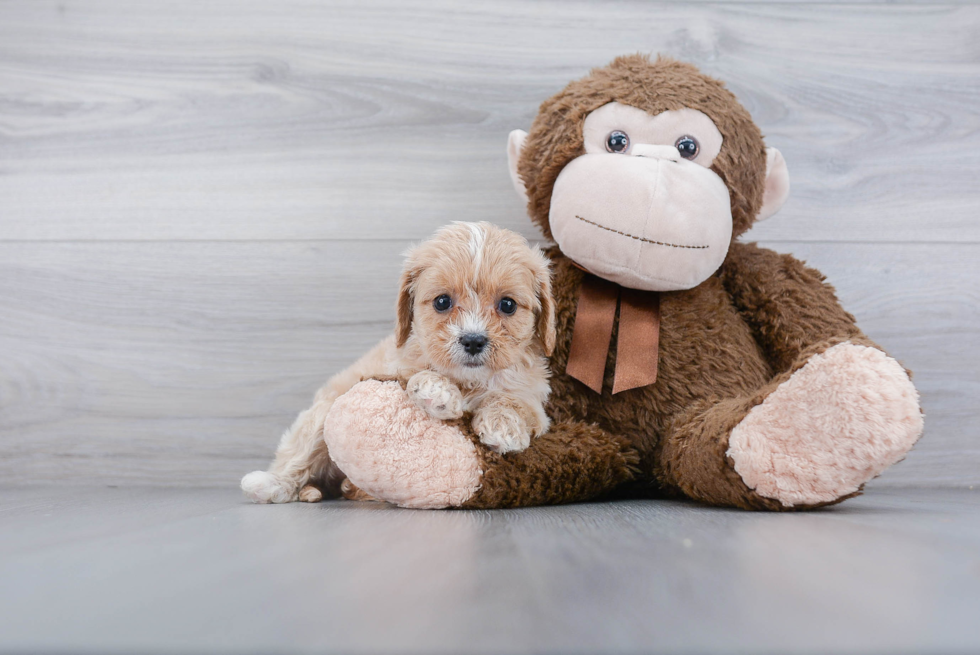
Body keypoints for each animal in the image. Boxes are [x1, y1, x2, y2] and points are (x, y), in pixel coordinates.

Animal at [241, 223, 556, 504]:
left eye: (508, 305)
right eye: (442, 302)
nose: (473, 340)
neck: (468, 380)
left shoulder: (534, 401)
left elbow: (513, 401)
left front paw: (503, 425)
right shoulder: (391, 370)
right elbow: (416, 375)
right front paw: (437, 391)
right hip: (321, 413)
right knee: (297, 457)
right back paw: (270, 484)